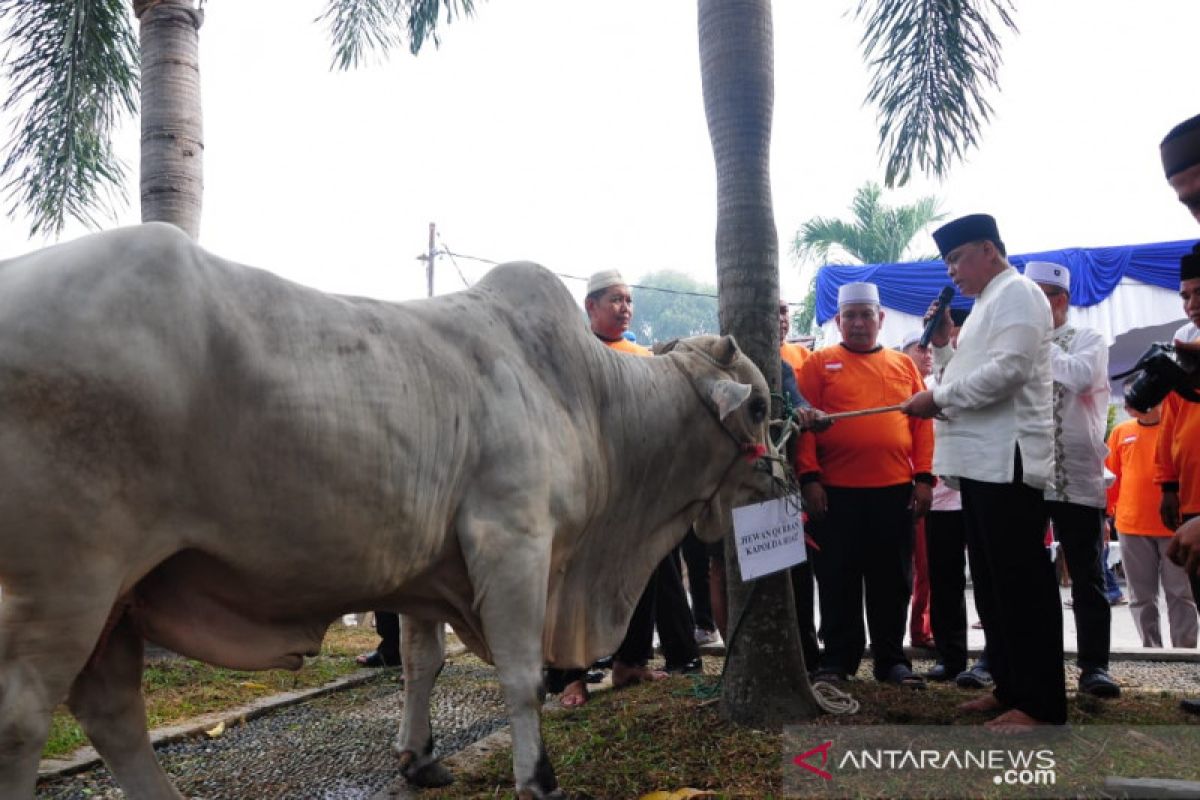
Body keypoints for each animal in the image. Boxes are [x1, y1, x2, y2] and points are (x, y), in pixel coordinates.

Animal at [0, 221, 772, 796]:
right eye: (763, 408)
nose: (786, 479)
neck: (589, 398)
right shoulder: (513, 540)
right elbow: (521, 675)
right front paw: (539, 778)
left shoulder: (428, 572)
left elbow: (419, 663)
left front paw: (419, 756)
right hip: (67, 587)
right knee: (24, 724)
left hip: (116, 602)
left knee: (112, 713)